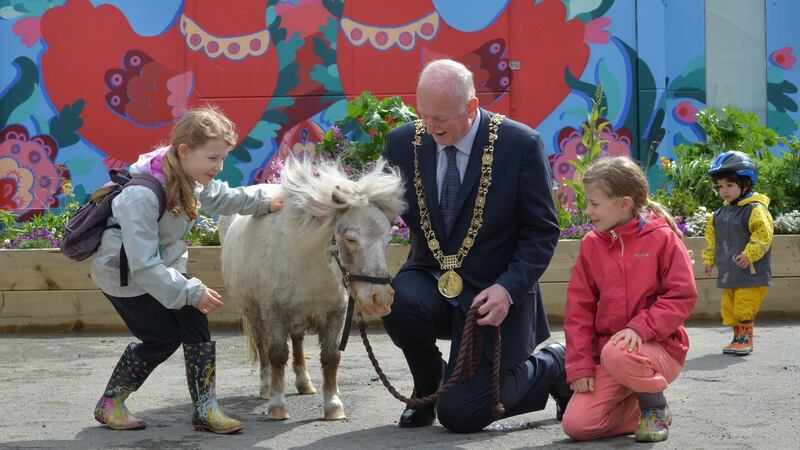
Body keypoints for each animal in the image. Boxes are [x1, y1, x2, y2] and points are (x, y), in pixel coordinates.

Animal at [219, 156, 406, 420]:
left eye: (387, 239)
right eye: (351, 238)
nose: (381, 298)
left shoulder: (335, 314)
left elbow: (331, 357)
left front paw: (334, 405)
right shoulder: (275, 313)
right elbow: (277, 355)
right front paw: (277, 406)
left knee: (297, 342)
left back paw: (304, 383)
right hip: (254, 314)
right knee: (263, 347)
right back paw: (265, 388)